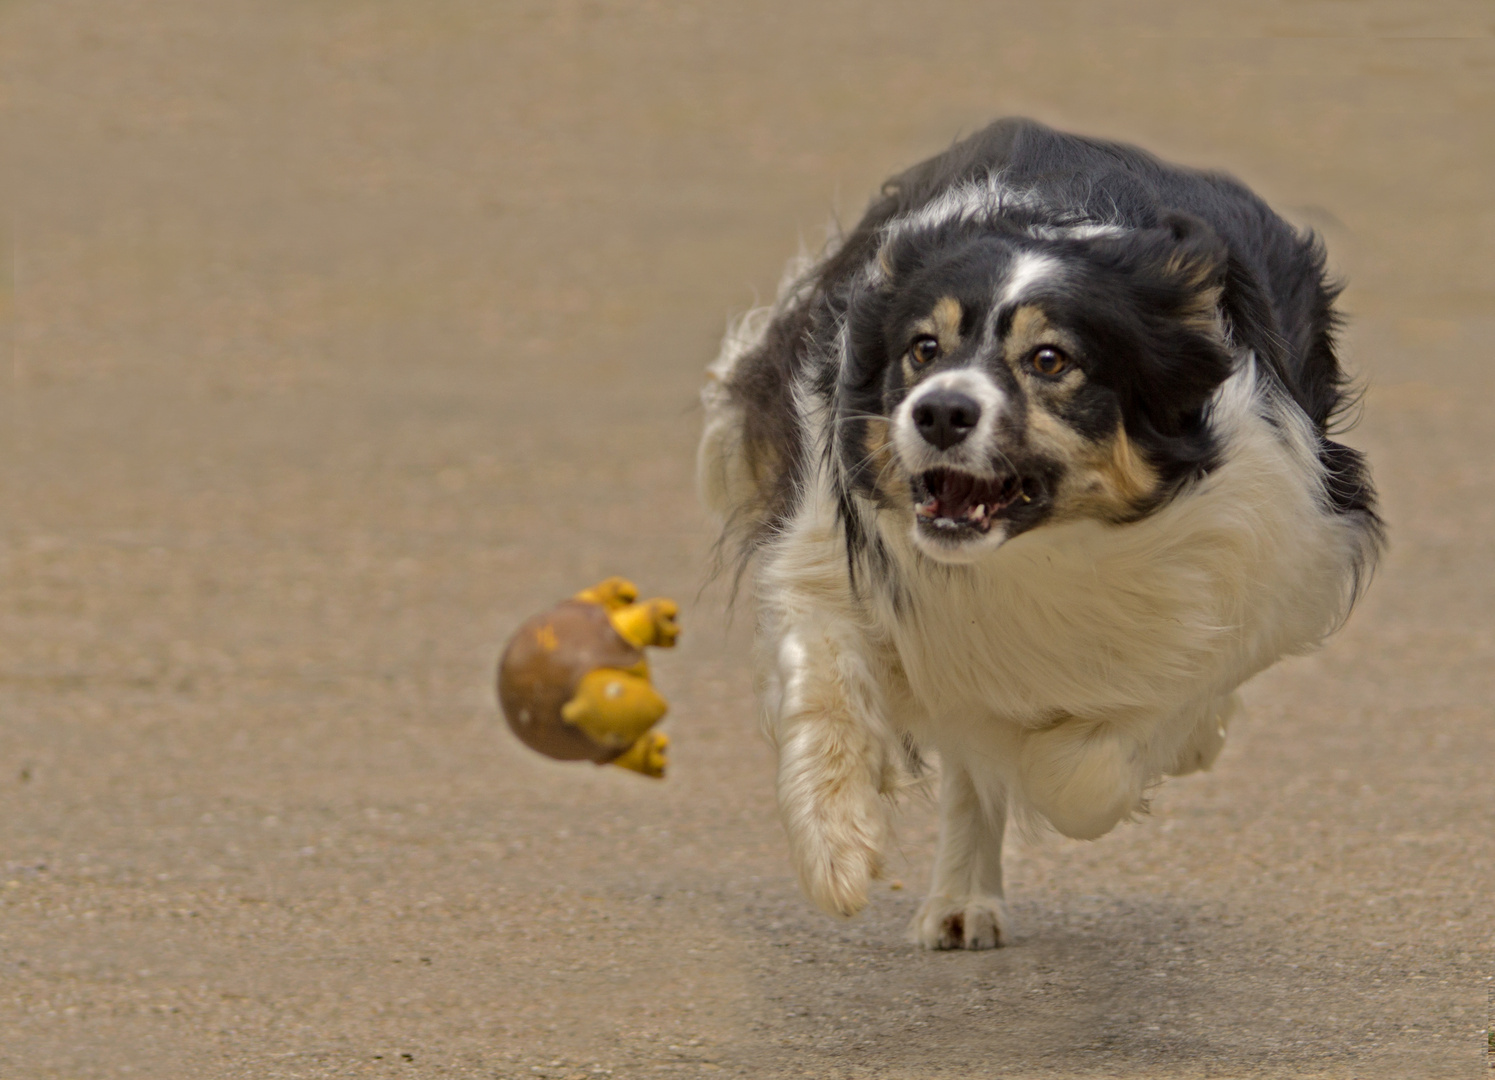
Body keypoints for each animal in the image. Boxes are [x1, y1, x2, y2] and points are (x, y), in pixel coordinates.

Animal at [693, 115, 1381, 945]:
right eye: (922, 348)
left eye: (1049, 360)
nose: (939, 411)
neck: (1040, 550)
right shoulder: (828, 549)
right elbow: (825, 686)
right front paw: (837, 847)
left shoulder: (1260, 560)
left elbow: (1091, 758)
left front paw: (1114, 753)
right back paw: (959, 899)